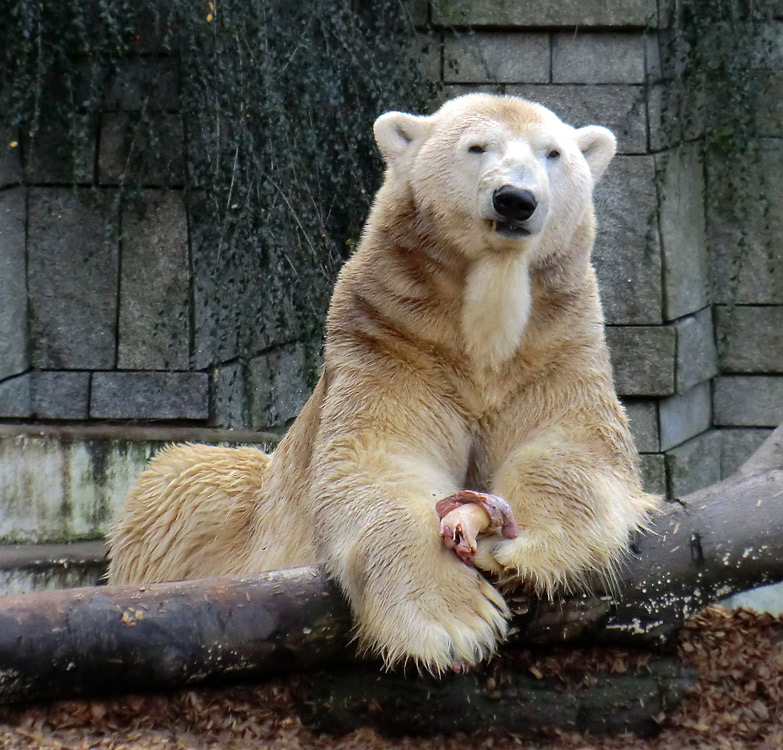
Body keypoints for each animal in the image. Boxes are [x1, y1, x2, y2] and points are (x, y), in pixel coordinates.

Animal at [110, 94, 660, 676]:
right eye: (477, 146)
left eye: (552, 153)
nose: (515, 199)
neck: (482, 342)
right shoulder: (390, 341)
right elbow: (378, 461)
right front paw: (455, 621)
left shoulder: (554, 349)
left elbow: (572, 448)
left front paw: (518, 546)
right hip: (214, 512)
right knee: (184, 479)